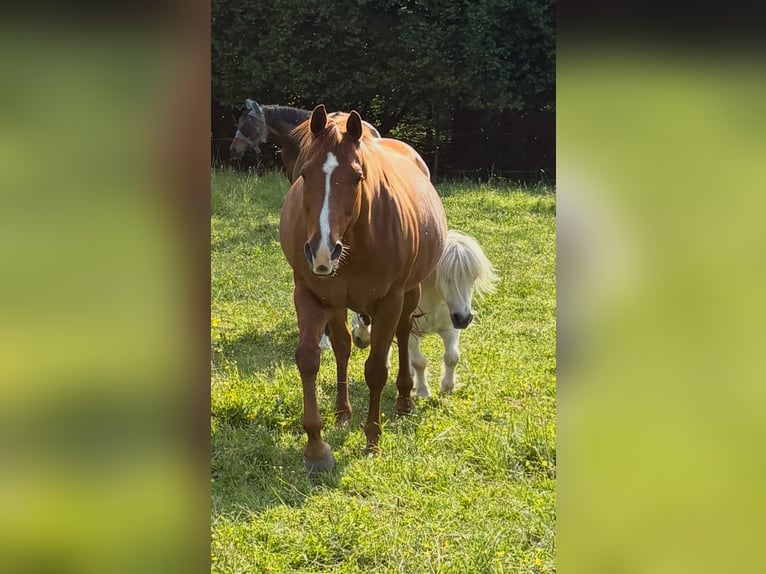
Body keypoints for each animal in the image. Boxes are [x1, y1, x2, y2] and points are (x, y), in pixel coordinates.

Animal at [278, 104, 447, 476]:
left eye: (357, 177)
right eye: (305, 174)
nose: (322, 250)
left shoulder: (389, 302)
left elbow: (375, 370)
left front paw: (372, 439)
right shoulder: (309, 295)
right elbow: (309, 358)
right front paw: (316, 447)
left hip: (409, 293)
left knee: (402, 335)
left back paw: (403, 399)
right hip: (335, 301)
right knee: (342, 346)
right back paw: (342, 412)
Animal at [350, 230, 498, 397]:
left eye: (472, 278)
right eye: (447, 277)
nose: (464, 319)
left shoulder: (450, 328)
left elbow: (452, 357)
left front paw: (447, 387)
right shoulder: (412, 333)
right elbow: (419, 362)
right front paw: (423, 391)